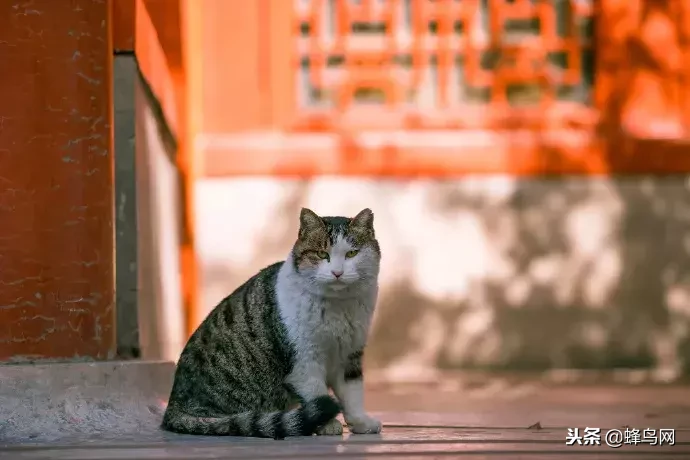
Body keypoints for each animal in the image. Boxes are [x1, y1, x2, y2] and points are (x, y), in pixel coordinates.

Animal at [161, 208, 382, 438]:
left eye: (352, 254)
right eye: (322, 254)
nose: (337, 272)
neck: (338, 308)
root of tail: (172, 407)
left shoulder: (350, 357)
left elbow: (353, 394)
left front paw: (360, 422)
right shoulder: (304, 362)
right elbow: (316, 393)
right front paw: (327, 424)